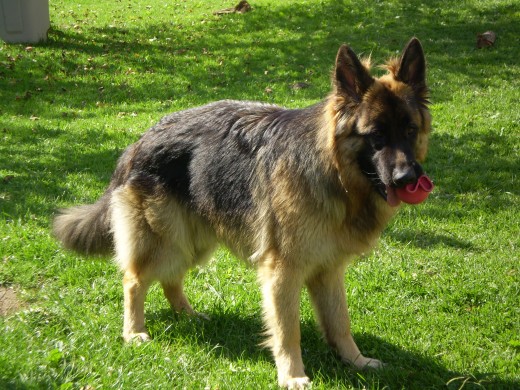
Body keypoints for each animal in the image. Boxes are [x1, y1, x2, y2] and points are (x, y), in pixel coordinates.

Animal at [53, 38, 430, 388]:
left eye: (410, 130)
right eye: (376, 135)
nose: (408, 178)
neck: (333, 174)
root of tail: (140, 140)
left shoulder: (329, 269)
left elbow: (340, 322)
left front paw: (355, 360)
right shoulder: (282, 272)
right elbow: (288, 331)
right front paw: (292, 375)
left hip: (192, 241)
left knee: (171, 278)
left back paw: (188, 315)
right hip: (167, 239)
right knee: (134, 280)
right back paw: (134, 332)